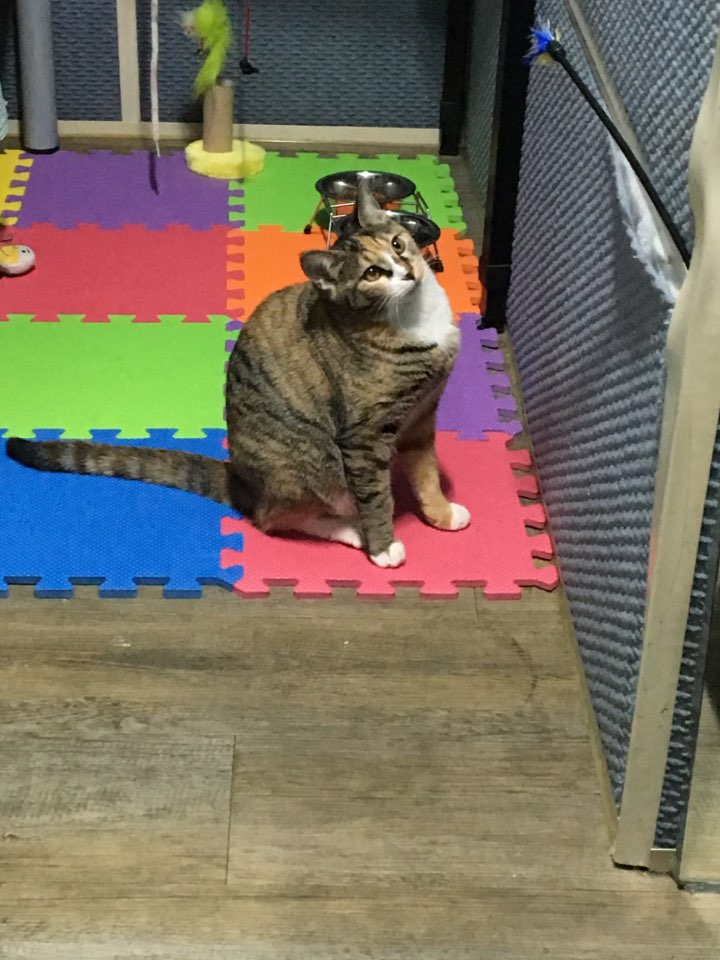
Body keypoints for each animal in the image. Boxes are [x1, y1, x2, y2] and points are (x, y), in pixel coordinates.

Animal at [5, 177, 470, 569]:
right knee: (274, 517)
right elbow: (377, 497)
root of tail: (241, 480)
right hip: (314, 465)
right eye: (373, 273)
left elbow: (426, 474)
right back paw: (350, 529)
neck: (412, 319)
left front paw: (442, 513)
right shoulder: (365, 435)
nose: (407, 271)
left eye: (399, 242)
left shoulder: (422, 414)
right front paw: (383, 545)